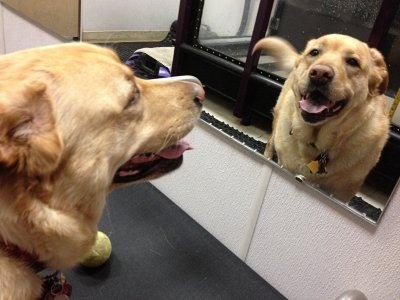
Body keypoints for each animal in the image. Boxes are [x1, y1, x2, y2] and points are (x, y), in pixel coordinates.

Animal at [255, 34, 390, 202]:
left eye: (353, 62)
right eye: (314, 52)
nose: (319, 74)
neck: (317, 144)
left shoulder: (342, 194)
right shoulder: (284, 166)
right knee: (270, 143)